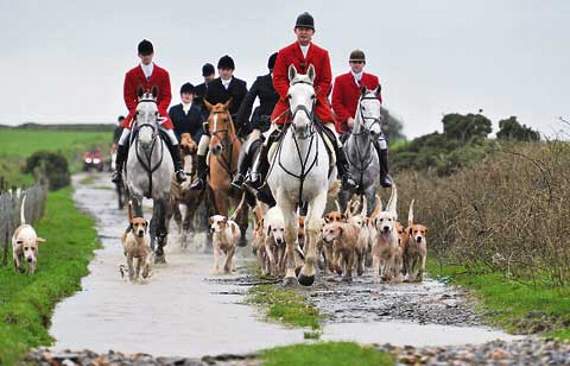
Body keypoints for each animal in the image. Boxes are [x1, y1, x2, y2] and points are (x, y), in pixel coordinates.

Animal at [125, 88, 174, 264]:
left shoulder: (160, 194)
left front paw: (157, 252)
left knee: (163, 221)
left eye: (156, 112)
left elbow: (154, 223)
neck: (147, 155)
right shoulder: (136, 193)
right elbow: (139, 218)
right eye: (137, 112)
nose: (145, 141)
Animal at [205, 99, 247, 246]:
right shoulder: (220, 194)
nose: (215, 148)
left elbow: (239, 216)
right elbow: (222, 215)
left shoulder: (239, 193)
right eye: (209, 121)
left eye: (225, 119)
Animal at [266, 63, 332, 286]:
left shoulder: (319, 195)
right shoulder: (284, 197)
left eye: (313, 96)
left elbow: (312, 228)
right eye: (289, 96)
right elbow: (290, 232)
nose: (301, 126)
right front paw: (290, 274)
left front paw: (307, 274)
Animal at [338, 87, 382, 216]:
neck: (361, 157)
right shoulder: (344, 193)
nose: (375, 133)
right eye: (363, 107)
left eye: (379, 106)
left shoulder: (370, 192)